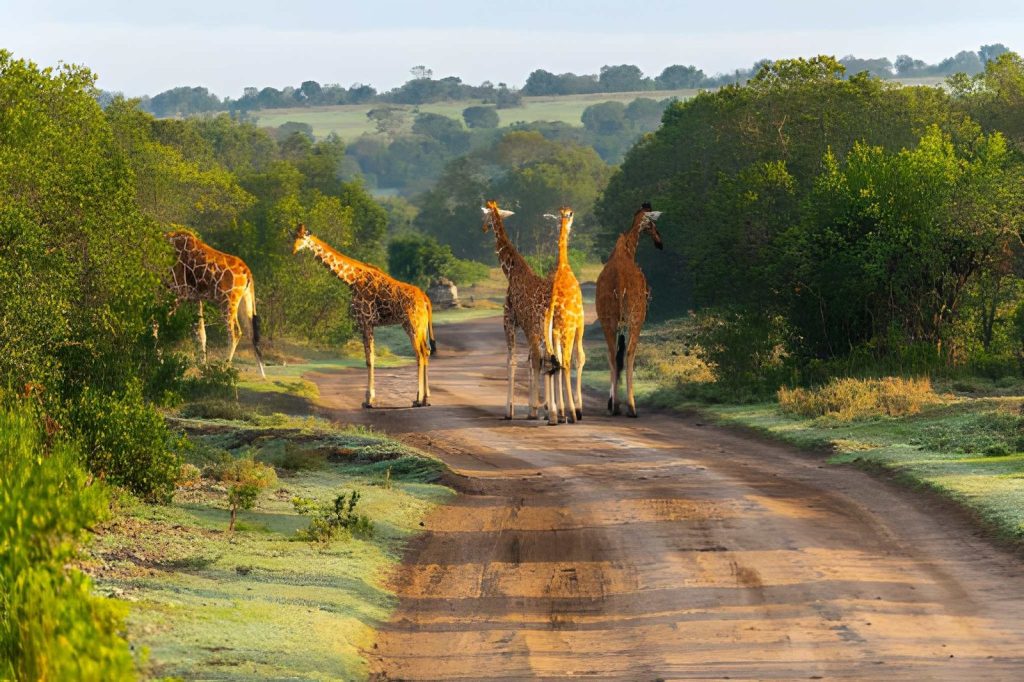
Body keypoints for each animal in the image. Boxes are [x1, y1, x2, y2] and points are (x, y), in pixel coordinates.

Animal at [165, 230, 265, 378]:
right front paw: (202, 367)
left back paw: (223, 368)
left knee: (235, 332)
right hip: (244, 301)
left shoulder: (177, 291)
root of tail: (248, 273)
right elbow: (200, 332)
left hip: (227, 301)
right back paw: (262, 374)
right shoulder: (194, 298)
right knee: (251, 333)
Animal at [292, 224, 435, 408]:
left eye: (303, 238)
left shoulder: (364, 321)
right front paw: (370, 398)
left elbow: (369, 359)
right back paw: (425, 399)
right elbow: (371, 357)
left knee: (420, 354)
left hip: (412, 325)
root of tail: (425, 298)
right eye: (293, 236)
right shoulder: (370, 324)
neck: (351, 280)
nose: (293, 249)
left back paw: (418, 399)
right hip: (421, 326)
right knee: (426, 352)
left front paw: (368, 400)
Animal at [481, 201, 553, 420]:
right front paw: (534, 408)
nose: (484, 228)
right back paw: (551, 410)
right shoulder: (528, 328)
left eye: (484, 216)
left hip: (534, 329)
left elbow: (511, 361)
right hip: (550, 332)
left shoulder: (510, 321)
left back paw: (542, 410)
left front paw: (510, 409)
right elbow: (528, 363)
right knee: (550, 360)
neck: (511, 271)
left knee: (540, 360)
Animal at [595, 203, 664, 417]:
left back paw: (616, 405)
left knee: (612, 353)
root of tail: (619, 284)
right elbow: (624, 353)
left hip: (608, 318)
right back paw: (630, 406)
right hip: (635, 317)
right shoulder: (630, 319)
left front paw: (612, 402)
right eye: (652, 224)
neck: (628, 250)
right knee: (629, 353)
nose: (660, 242)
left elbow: (616, 355)